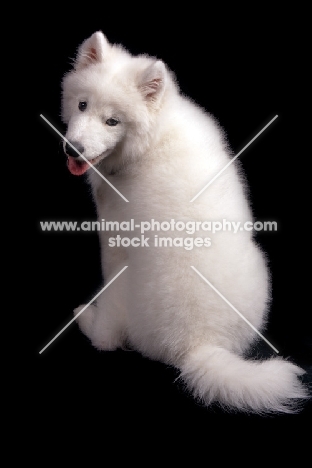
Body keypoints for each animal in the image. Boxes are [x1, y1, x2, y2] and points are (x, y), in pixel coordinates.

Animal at [61, 31, 308, 414]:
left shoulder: (113, 237)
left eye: (113, 121)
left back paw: (85, 315)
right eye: (82, 105)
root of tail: (200, 344)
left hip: (124, 284)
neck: (151, 141)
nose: (72, 149)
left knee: (108, 338)